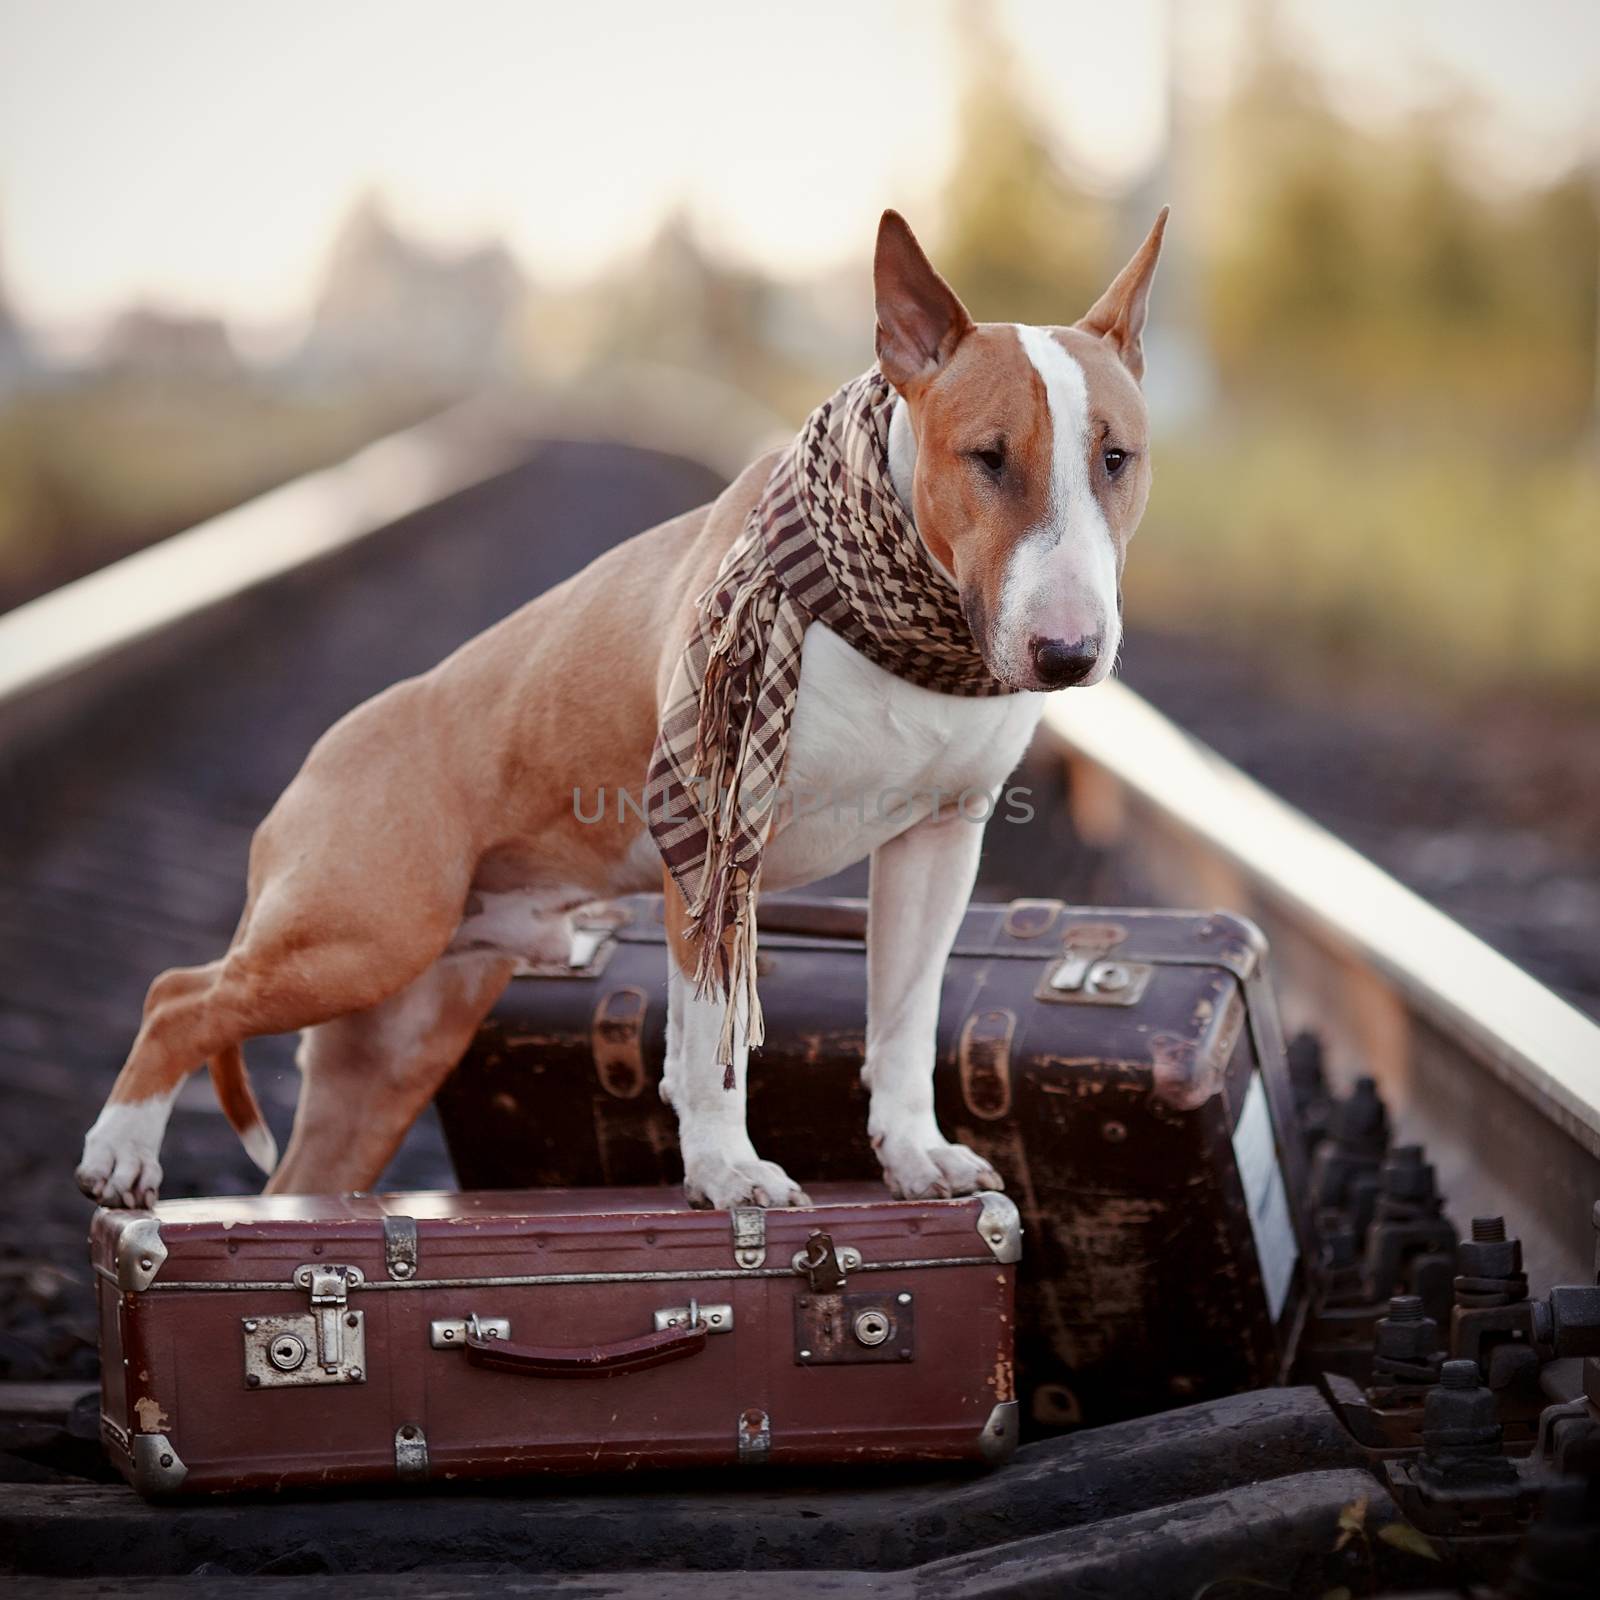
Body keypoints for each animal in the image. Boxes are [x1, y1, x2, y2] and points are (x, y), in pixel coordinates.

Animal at [78, 209, 1164, 1209]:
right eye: (988, 456)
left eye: (1117, 458)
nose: (1068, 655)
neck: (907, 637)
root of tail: (316, 761)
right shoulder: (715, 828)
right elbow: (708, 1041)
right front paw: (729, 1171)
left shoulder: (938, 842)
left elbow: (901, 1020)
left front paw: (915, 1155)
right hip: (363, 932)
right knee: (180, 994)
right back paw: (122, 1153)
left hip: (394, 1038)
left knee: (296, 1154)